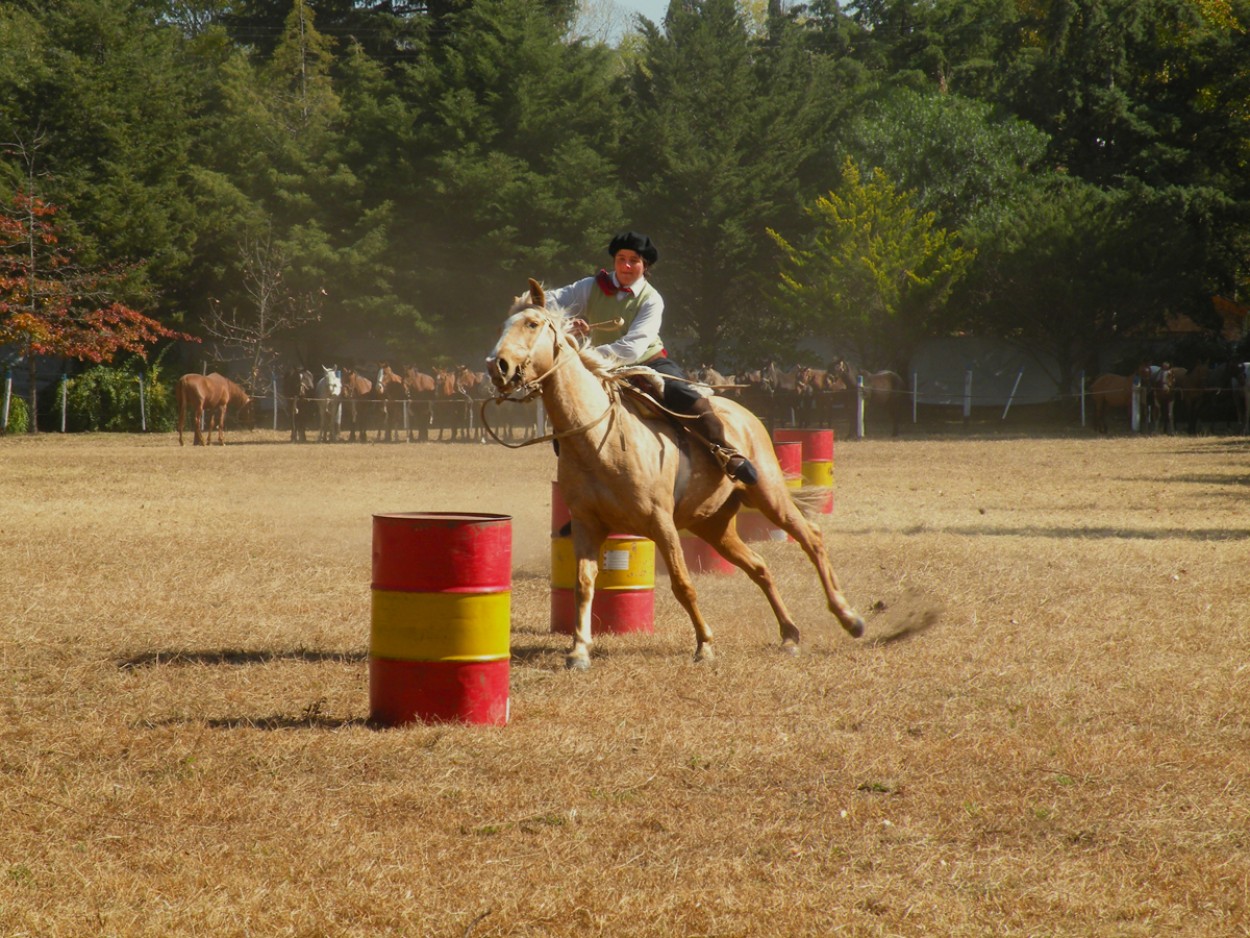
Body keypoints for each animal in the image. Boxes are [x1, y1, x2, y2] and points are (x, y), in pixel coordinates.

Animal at [482, 282, 865, 670]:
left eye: (531, 323)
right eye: (503, 324)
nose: (497, 366)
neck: (599, 436)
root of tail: (744, 414)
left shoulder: (661, 522)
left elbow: (683, 584)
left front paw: (705, 645)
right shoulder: (586, 524)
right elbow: (584, 583)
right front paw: (578, 650)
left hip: (769, 495)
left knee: (811, 538)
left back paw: (849, 617)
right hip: (713, 525)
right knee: (759, 566)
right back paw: (789, 634)